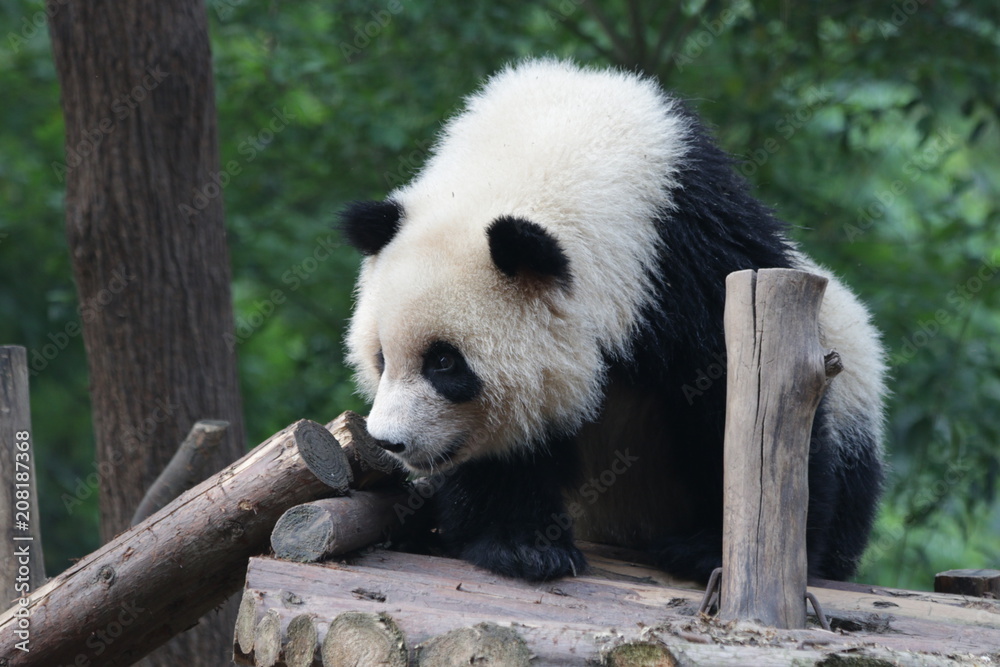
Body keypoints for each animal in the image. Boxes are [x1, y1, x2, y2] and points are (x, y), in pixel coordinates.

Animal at [339, 58, 886, 583]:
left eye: (445, 363)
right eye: (381, 358)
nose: (390, 441)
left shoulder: (692, 259)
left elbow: (733, 397)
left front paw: (713, 548)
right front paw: (523, 545)